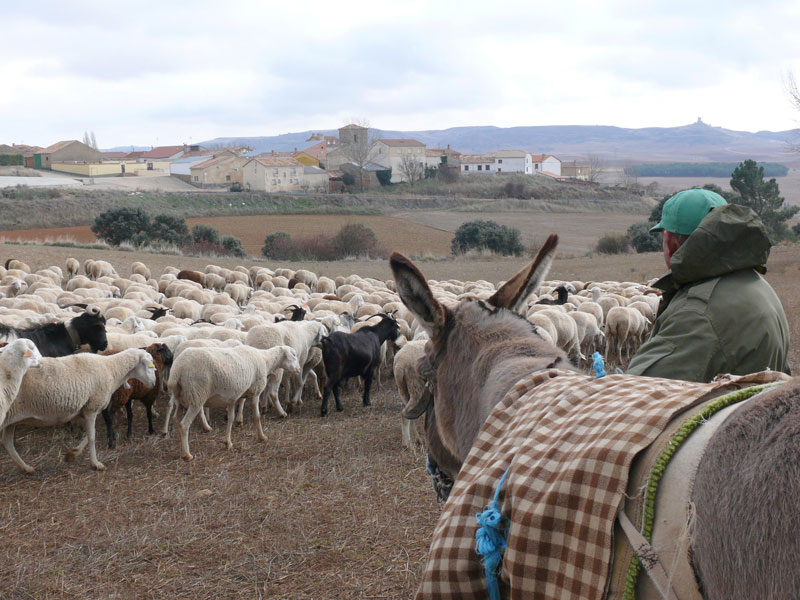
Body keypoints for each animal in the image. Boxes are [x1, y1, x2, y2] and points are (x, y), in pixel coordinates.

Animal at [0, 350, 156, 472]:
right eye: (149, 365)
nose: (154, 383)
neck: (112, 369)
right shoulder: (92, 407)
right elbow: (92, 437)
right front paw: (96, 464)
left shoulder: (84, 410)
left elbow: (88, 435)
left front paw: (72, 454)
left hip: (12, 418)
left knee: (7, 443)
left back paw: (26, 468)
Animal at [168, 342, 300, 460]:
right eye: (293, 354)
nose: (299, 369)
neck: (266, 360)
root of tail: (177, 370)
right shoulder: (255, 391)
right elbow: (257, 416)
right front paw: (262, 437)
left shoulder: (233, 397)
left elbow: (231, 419)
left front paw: (228, 442)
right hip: (196, 395)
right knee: (184, 424)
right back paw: (187, 455)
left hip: (180, 398)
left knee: (176, 420)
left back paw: (181, 450)